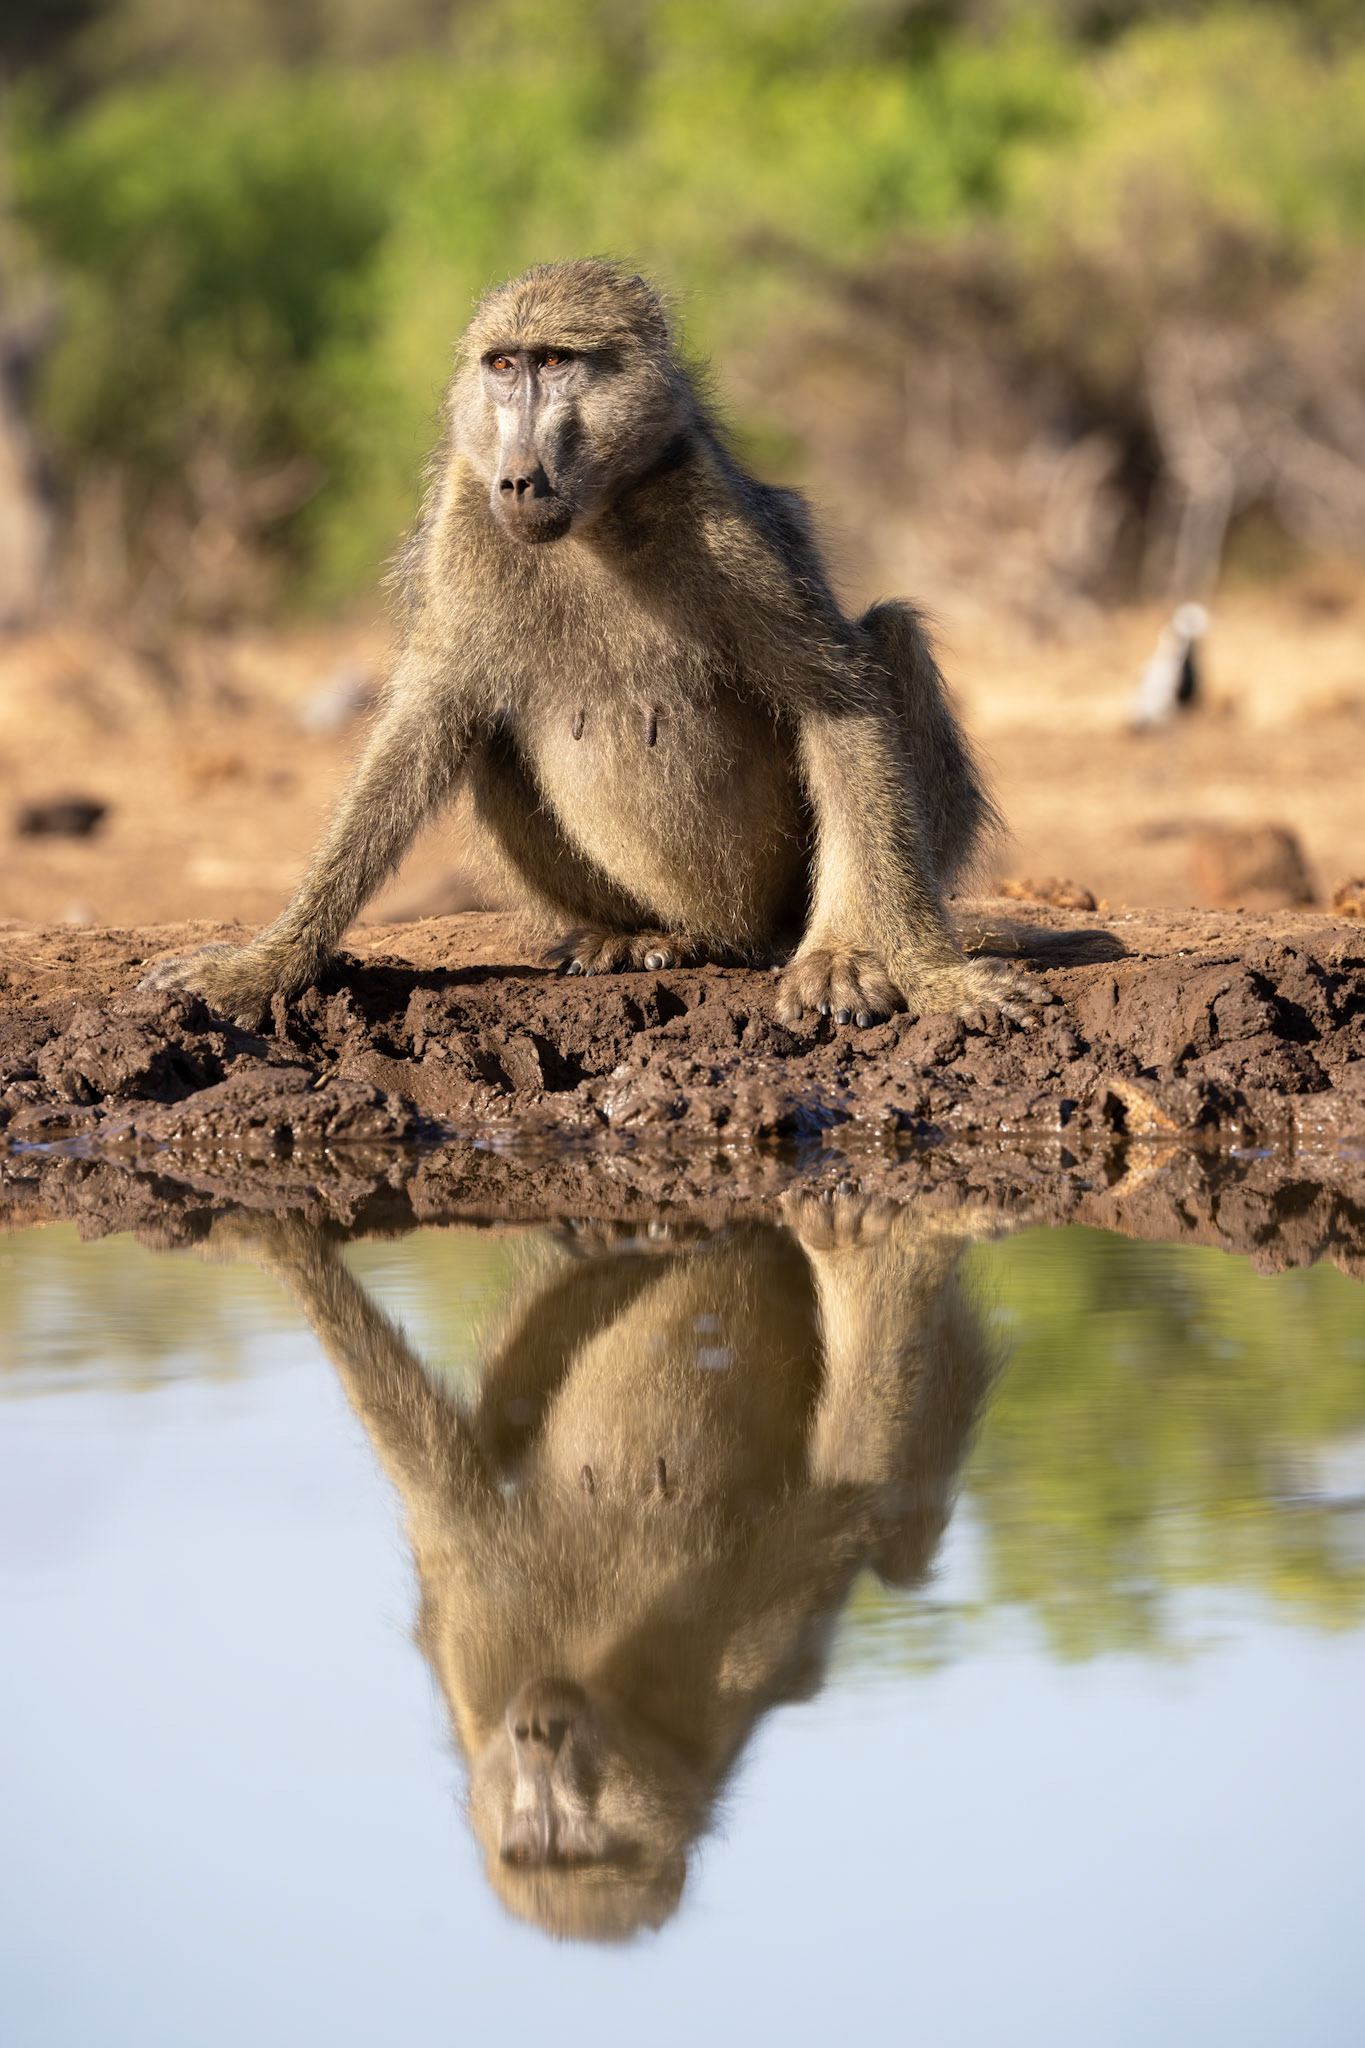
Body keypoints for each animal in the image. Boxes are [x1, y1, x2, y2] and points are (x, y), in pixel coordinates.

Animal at [144, 258, 1035, 1032]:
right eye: (503, 366)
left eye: (555, 361)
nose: (517, 480)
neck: (595, 520)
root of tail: (729, 934)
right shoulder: (461, 528)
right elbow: (420, 730)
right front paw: (264, 965)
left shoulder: (727, 529)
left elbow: (836, 704)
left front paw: (917, 971)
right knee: (485, 731)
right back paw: (635, 936)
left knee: (889, 634)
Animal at [217, 1194, 999, 1942]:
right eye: (525, 1852)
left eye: (577, 1845)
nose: (536, 1737)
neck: (604, 1675)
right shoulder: (480, 1644)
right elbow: (436, 1467)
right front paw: (281, 1244)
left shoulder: (746, 1643)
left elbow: (852, 1483)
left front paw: (864, 1256)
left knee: (901, 1558)